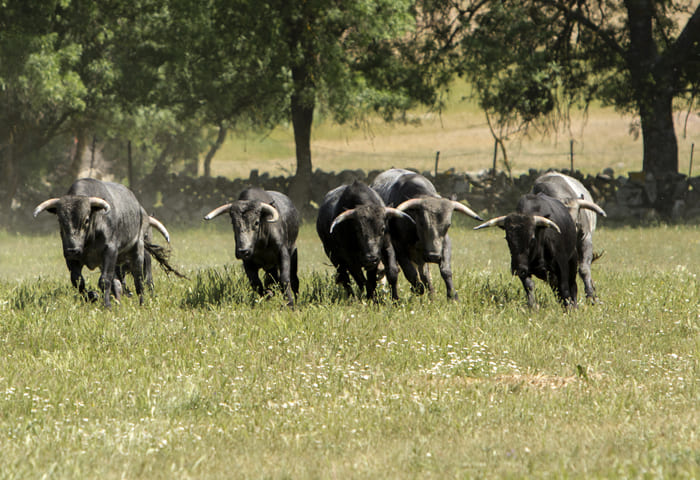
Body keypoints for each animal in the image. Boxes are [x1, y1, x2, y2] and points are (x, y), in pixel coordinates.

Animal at [34, 177, 179, 308]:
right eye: (60, 220)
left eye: (86, 220)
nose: (73, 250)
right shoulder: (71, 257)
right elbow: (78, 281)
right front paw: (93, 296)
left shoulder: (110, 251)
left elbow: (105, 280)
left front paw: (107, 304)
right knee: (119, 282)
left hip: (137, 252)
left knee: (140, 280)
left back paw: (141, 303)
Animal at [374, 167, 484, 298]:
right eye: (422, 223)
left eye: (448, 225)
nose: (433, 256)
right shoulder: (398, 246)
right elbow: (409, 272)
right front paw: (418, 288)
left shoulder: (445, 243)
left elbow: (445, 270)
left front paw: (452, 295)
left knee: (425, 275)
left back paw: (432, 294)